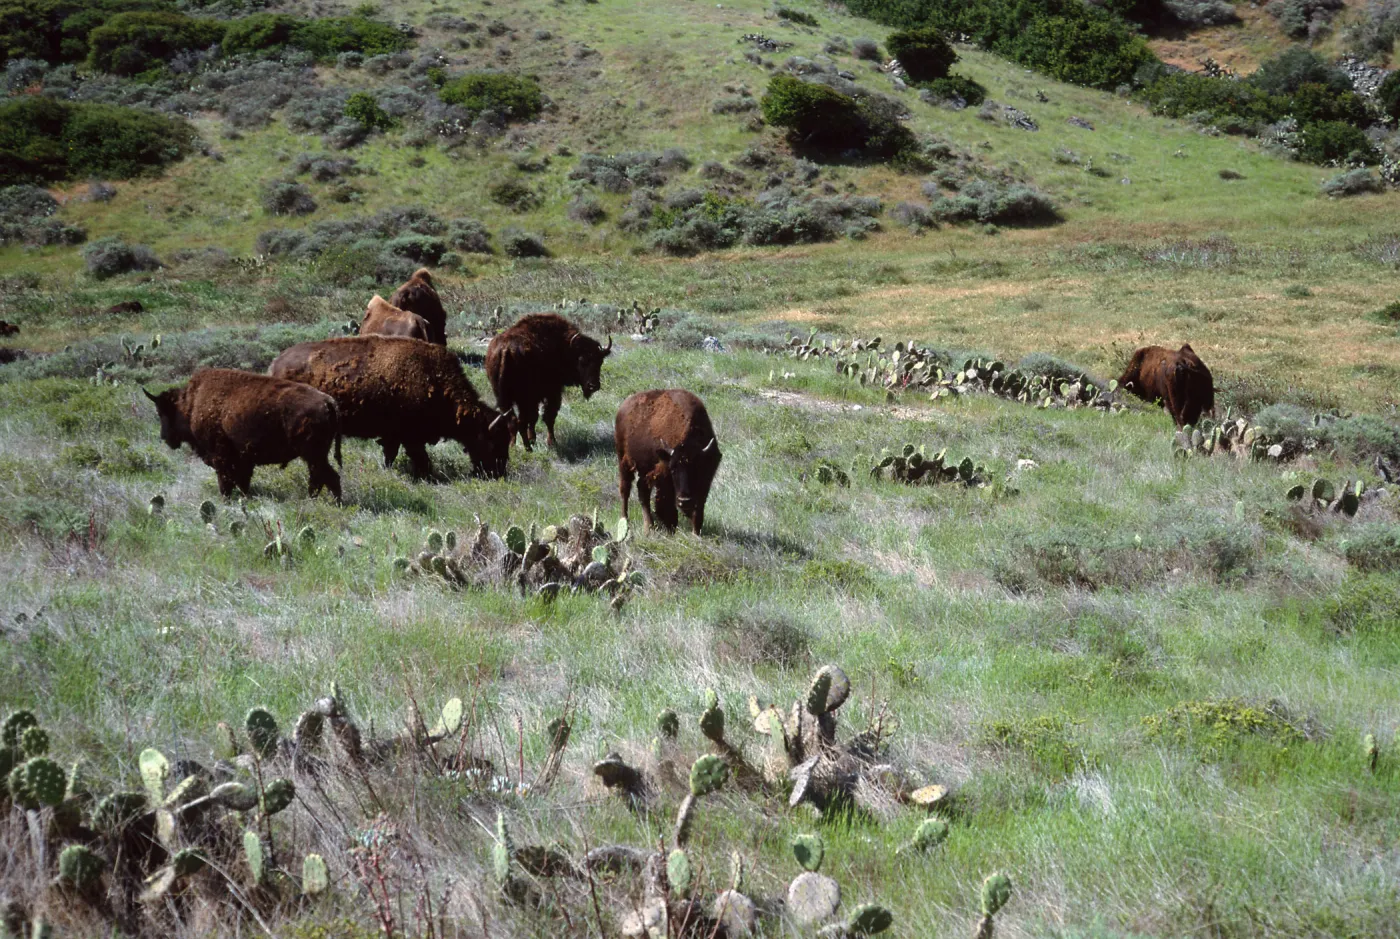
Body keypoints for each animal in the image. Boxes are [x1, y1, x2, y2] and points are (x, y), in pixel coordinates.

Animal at [144, 368, 343, 499]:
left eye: (162, 412)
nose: (164, 437)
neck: (191, 405)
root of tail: (327, 401)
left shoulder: (222, 457)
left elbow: (226, 480)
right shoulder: (243, 459)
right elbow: (242, 481)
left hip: (313, 455)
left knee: (325, 477)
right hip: (316, 456)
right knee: (323, 477)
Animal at [269, 336, 514, 479]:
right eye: (493, 441)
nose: (498, 472)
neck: (434, 378)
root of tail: (276, 363)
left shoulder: (394, 436)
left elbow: (391, 454)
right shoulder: (409, 437)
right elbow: (417, 457)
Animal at [486, 313, 612, 450]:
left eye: (600, 361)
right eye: (582, 360)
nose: (593, 386)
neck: (564, 346)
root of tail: (506, 350)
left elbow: (534, 418)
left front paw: (534, 439)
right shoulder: (552, 393)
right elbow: (548, 417)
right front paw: (551, 442)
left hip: (503, 398)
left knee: (513, 420)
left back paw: (514, 446)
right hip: (523, 398)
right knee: (521, 421)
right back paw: (527, 448)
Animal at [615, 389, 721, 535]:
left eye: (696, 469)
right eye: (673, 469)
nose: (684, 500)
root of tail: (623, 407)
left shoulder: (705, 480)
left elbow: (699, 508)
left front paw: (695, 533)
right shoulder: (664, 477)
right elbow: (667, 504)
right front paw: (671, 528)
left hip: (644, 469)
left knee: (642, 491)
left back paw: (649, 526)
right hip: (624, 461)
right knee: (625, 490)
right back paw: (627, 521)